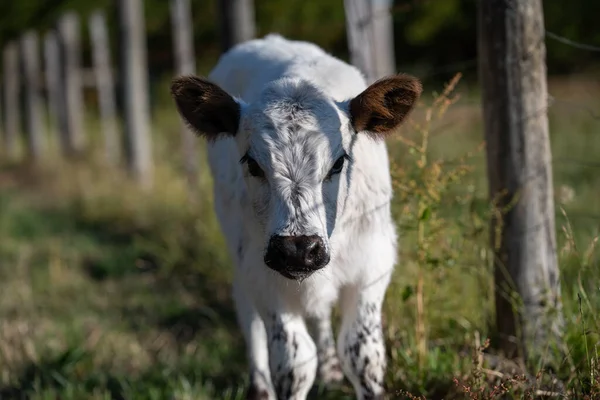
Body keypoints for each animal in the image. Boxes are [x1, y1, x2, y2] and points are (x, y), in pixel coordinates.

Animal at [170, 35, 422, 400]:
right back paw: (261, 387)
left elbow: (362, 355)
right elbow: (295, 362)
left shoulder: (373, 264)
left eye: (339, 162)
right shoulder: (264, 276)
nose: (298, 249)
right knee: (248, 312)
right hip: (241, 254)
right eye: (252, 164)